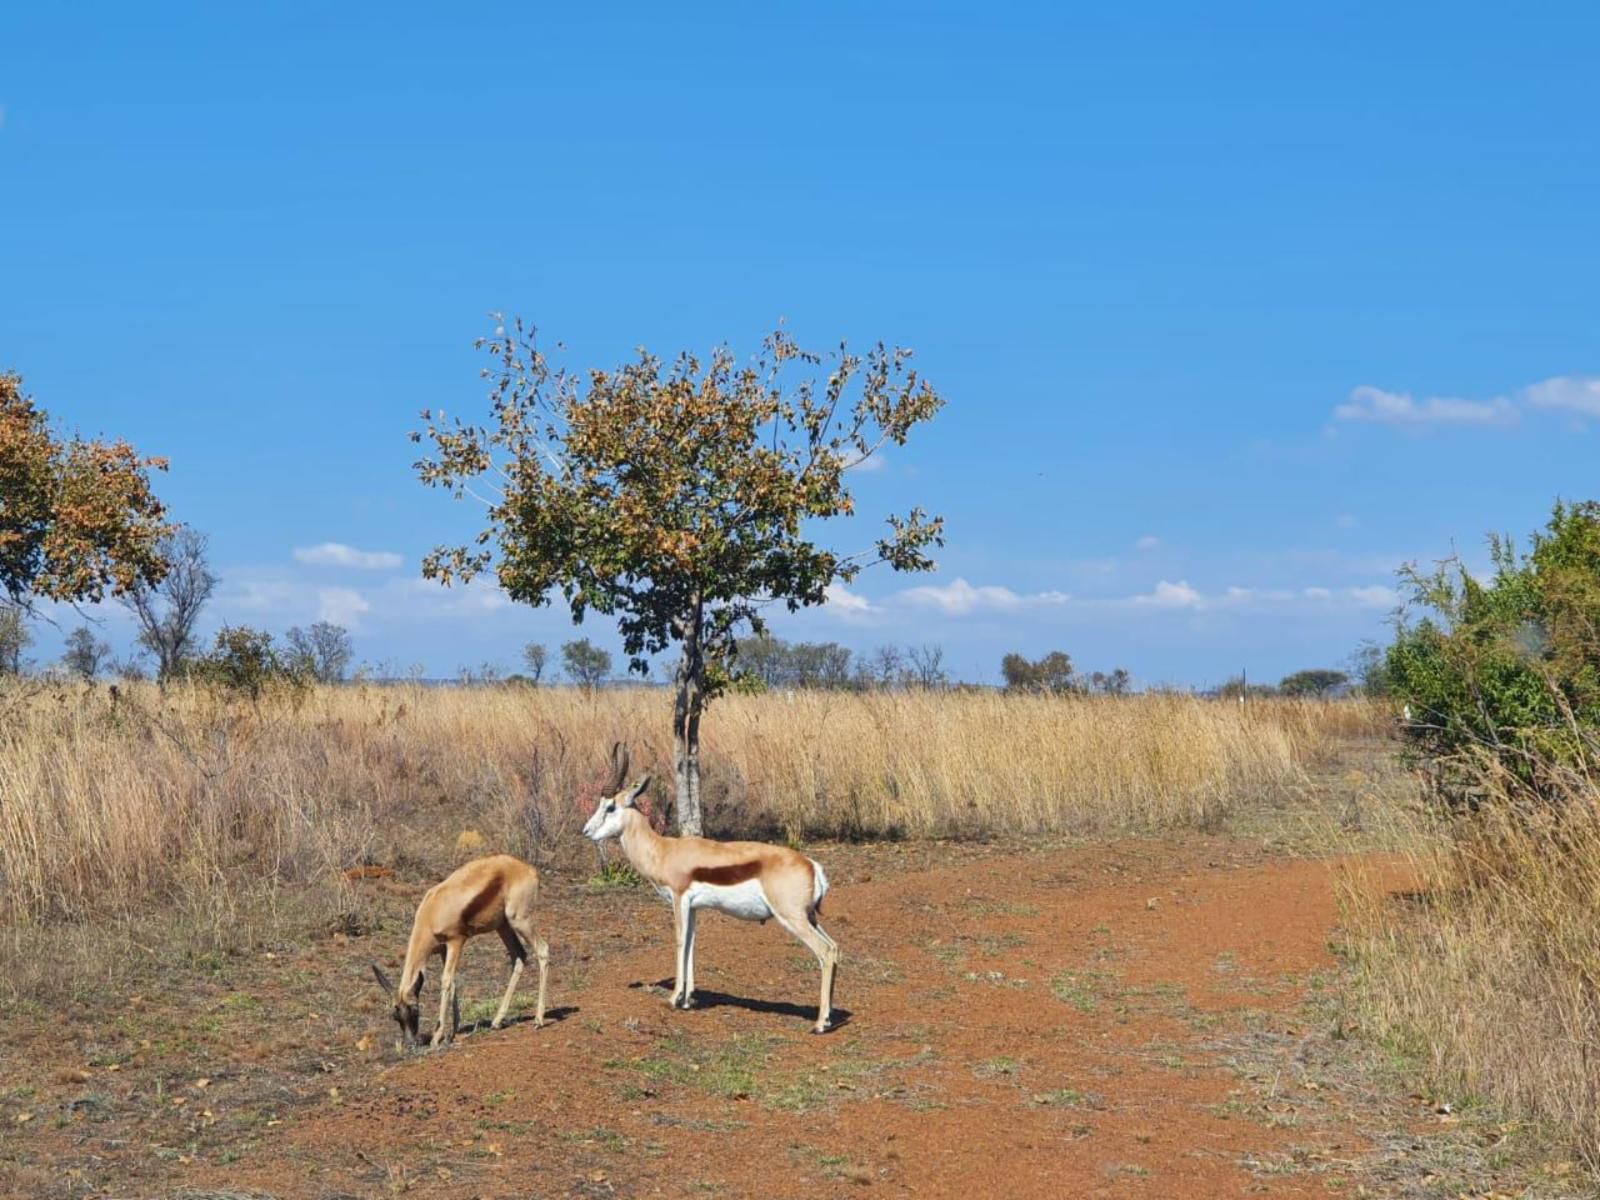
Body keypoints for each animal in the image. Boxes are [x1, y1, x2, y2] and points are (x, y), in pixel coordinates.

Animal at [368, 857, 550, 1049]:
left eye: (415, 1009)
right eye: (395, 1015)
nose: (410, 1043)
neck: (431, 912)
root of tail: (528, 868)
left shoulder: (456, 941)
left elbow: (446, 981)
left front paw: (437, 1037)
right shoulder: (443, 949)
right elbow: (452, 983)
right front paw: (452, 1033)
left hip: (519, 921)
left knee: (543, 950)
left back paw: (538, 1020)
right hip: (503, 926)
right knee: (519, 956)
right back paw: (497, 1021)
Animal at [585, 742, 838, 1036]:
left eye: (610, 807)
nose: (586, 831)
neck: (663, 850)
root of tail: (812, 865)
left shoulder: (679, 899)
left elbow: (680, 940)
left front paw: (673, 998)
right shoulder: (694, 907)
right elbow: (691, 944)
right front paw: (687, 1000)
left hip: (792, 917)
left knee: (825, 952)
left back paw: (820, 1024)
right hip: (810, 917)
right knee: (834, 948)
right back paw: (829, 1018)